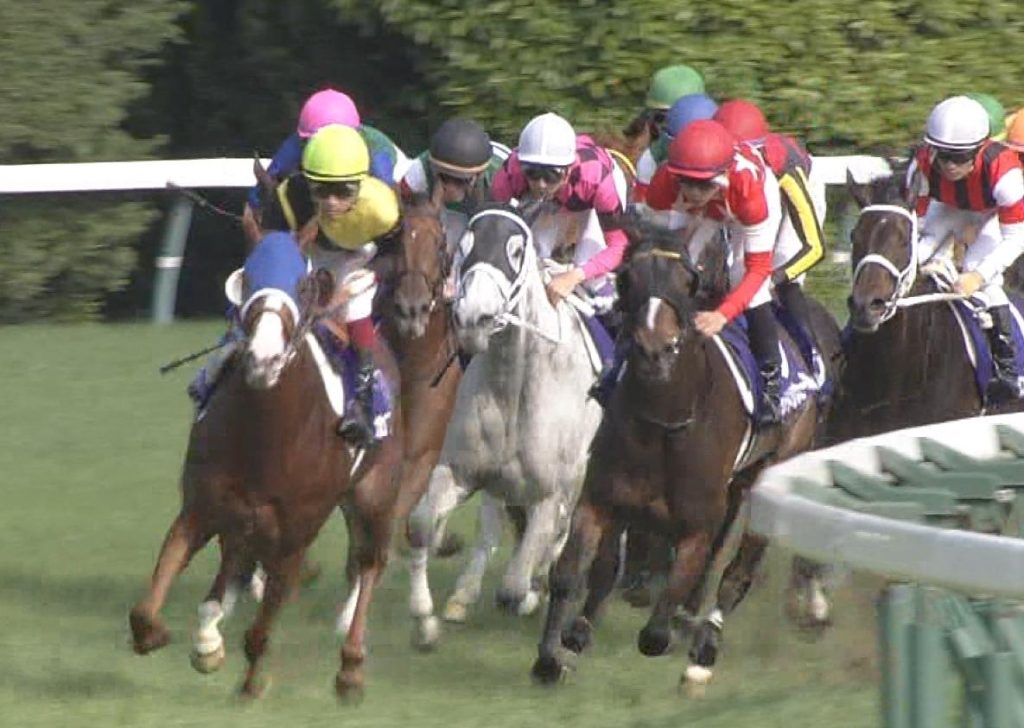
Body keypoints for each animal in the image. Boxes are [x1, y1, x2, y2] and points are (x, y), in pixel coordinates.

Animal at [126, 233, 399, 700]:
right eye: (246, 277)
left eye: (302, 284)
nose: (264, 358)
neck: (265, 435)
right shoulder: (201, 508)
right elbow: (148, 604)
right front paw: (169, 637)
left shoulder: (294, 534)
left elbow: (262, 627)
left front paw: (252, 682)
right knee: (233, 566)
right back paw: (209, 638)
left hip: (375, 494)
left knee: (369, 563)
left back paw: (350, 667)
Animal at [532, 222, 835, 696]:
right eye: (626, 278)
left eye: (688, 282)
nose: (653, 350)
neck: (664, 421)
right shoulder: (600, 498)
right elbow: (573, 574)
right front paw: (553, 656)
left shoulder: (695, 525)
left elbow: (657, 628)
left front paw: (671, 632)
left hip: (773, 470)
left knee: (735, 574)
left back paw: (704, 651)